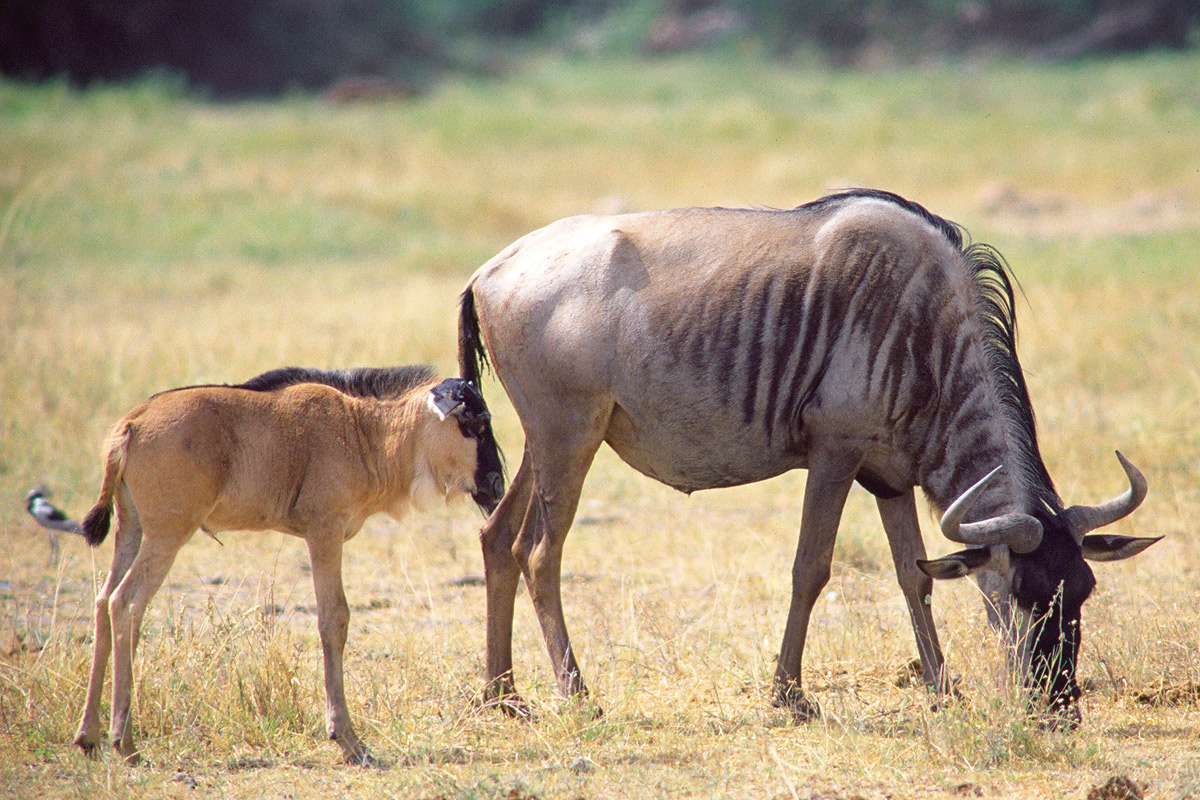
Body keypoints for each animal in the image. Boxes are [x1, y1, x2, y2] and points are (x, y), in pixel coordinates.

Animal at [71, 367, 501, 767]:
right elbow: (334, 619)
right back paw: (124, 742)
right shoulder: (324, 533)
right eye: (474, 424)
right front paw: (347, 740)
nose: (497, 484)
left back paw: (88, 736)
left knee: (103, 600)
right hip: (168, 534)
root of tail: (135, 420)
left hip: (132, 529)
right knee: (126, 603)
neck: (365, 431)